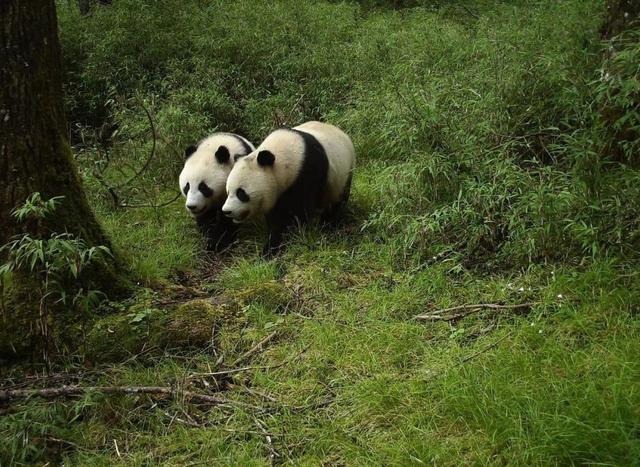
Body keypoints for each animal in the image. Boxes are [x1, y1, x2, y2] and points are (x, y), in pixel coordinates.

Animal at [222, 121, 356, 256]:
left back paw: (328, 225)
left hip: (344, 172)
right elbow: (275, 218)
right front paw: (271, 247)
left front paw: (292, 237)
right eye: (228, 191)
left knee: (337, 202)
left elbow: (299, 211)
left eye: (241, 193)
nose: (226, 211)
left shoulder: (308, 172)